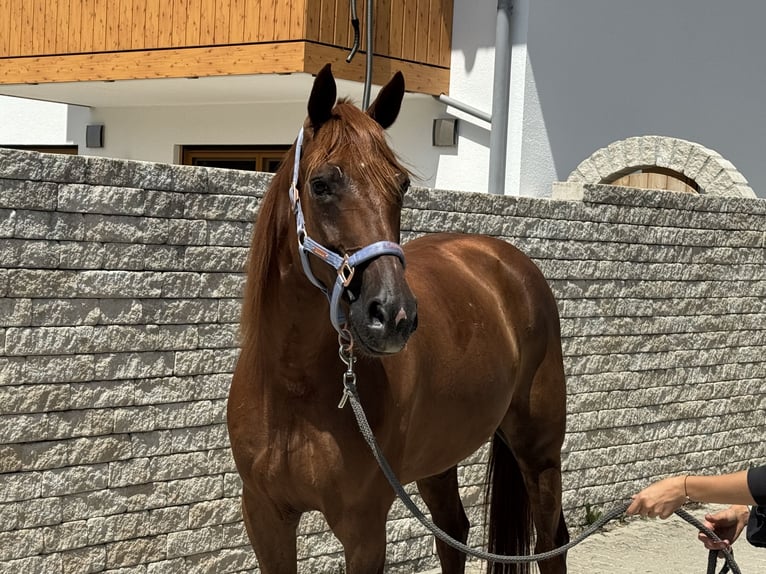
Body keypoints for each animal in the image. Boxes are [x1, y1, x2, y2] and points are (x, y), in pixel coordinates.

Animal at [227, 63, 570, 574]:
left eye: (401, 186)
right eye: (321, 184)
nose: (394, 315)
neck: (292, 387)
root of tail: (510, 261)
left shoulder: (364, 528)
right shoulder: (265, 516)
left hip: (539, 452)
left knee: (550, 543)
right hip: (441, 455)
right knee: (454, 532)